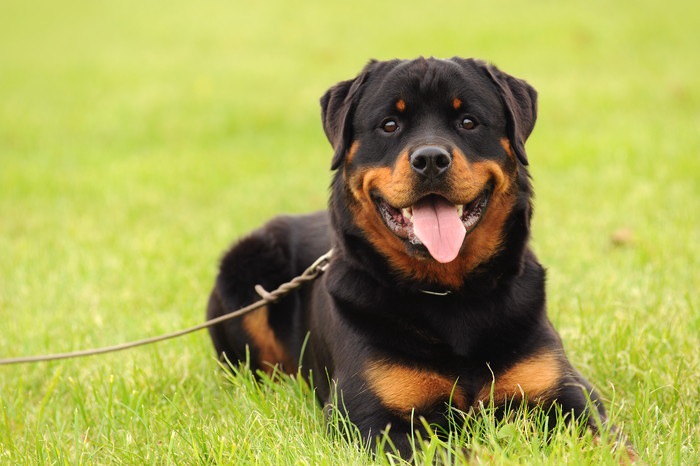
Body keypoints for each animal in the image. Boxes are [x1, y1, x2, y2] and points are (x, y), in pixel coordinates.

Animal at [206, 56, 624, 456]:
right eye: (390, 125)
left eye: (468, 122)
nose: (430, 159)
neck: (450, 296)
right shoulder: (369, 416)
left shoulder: (565, 390)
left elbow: (610, 442)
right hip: (246, 267)